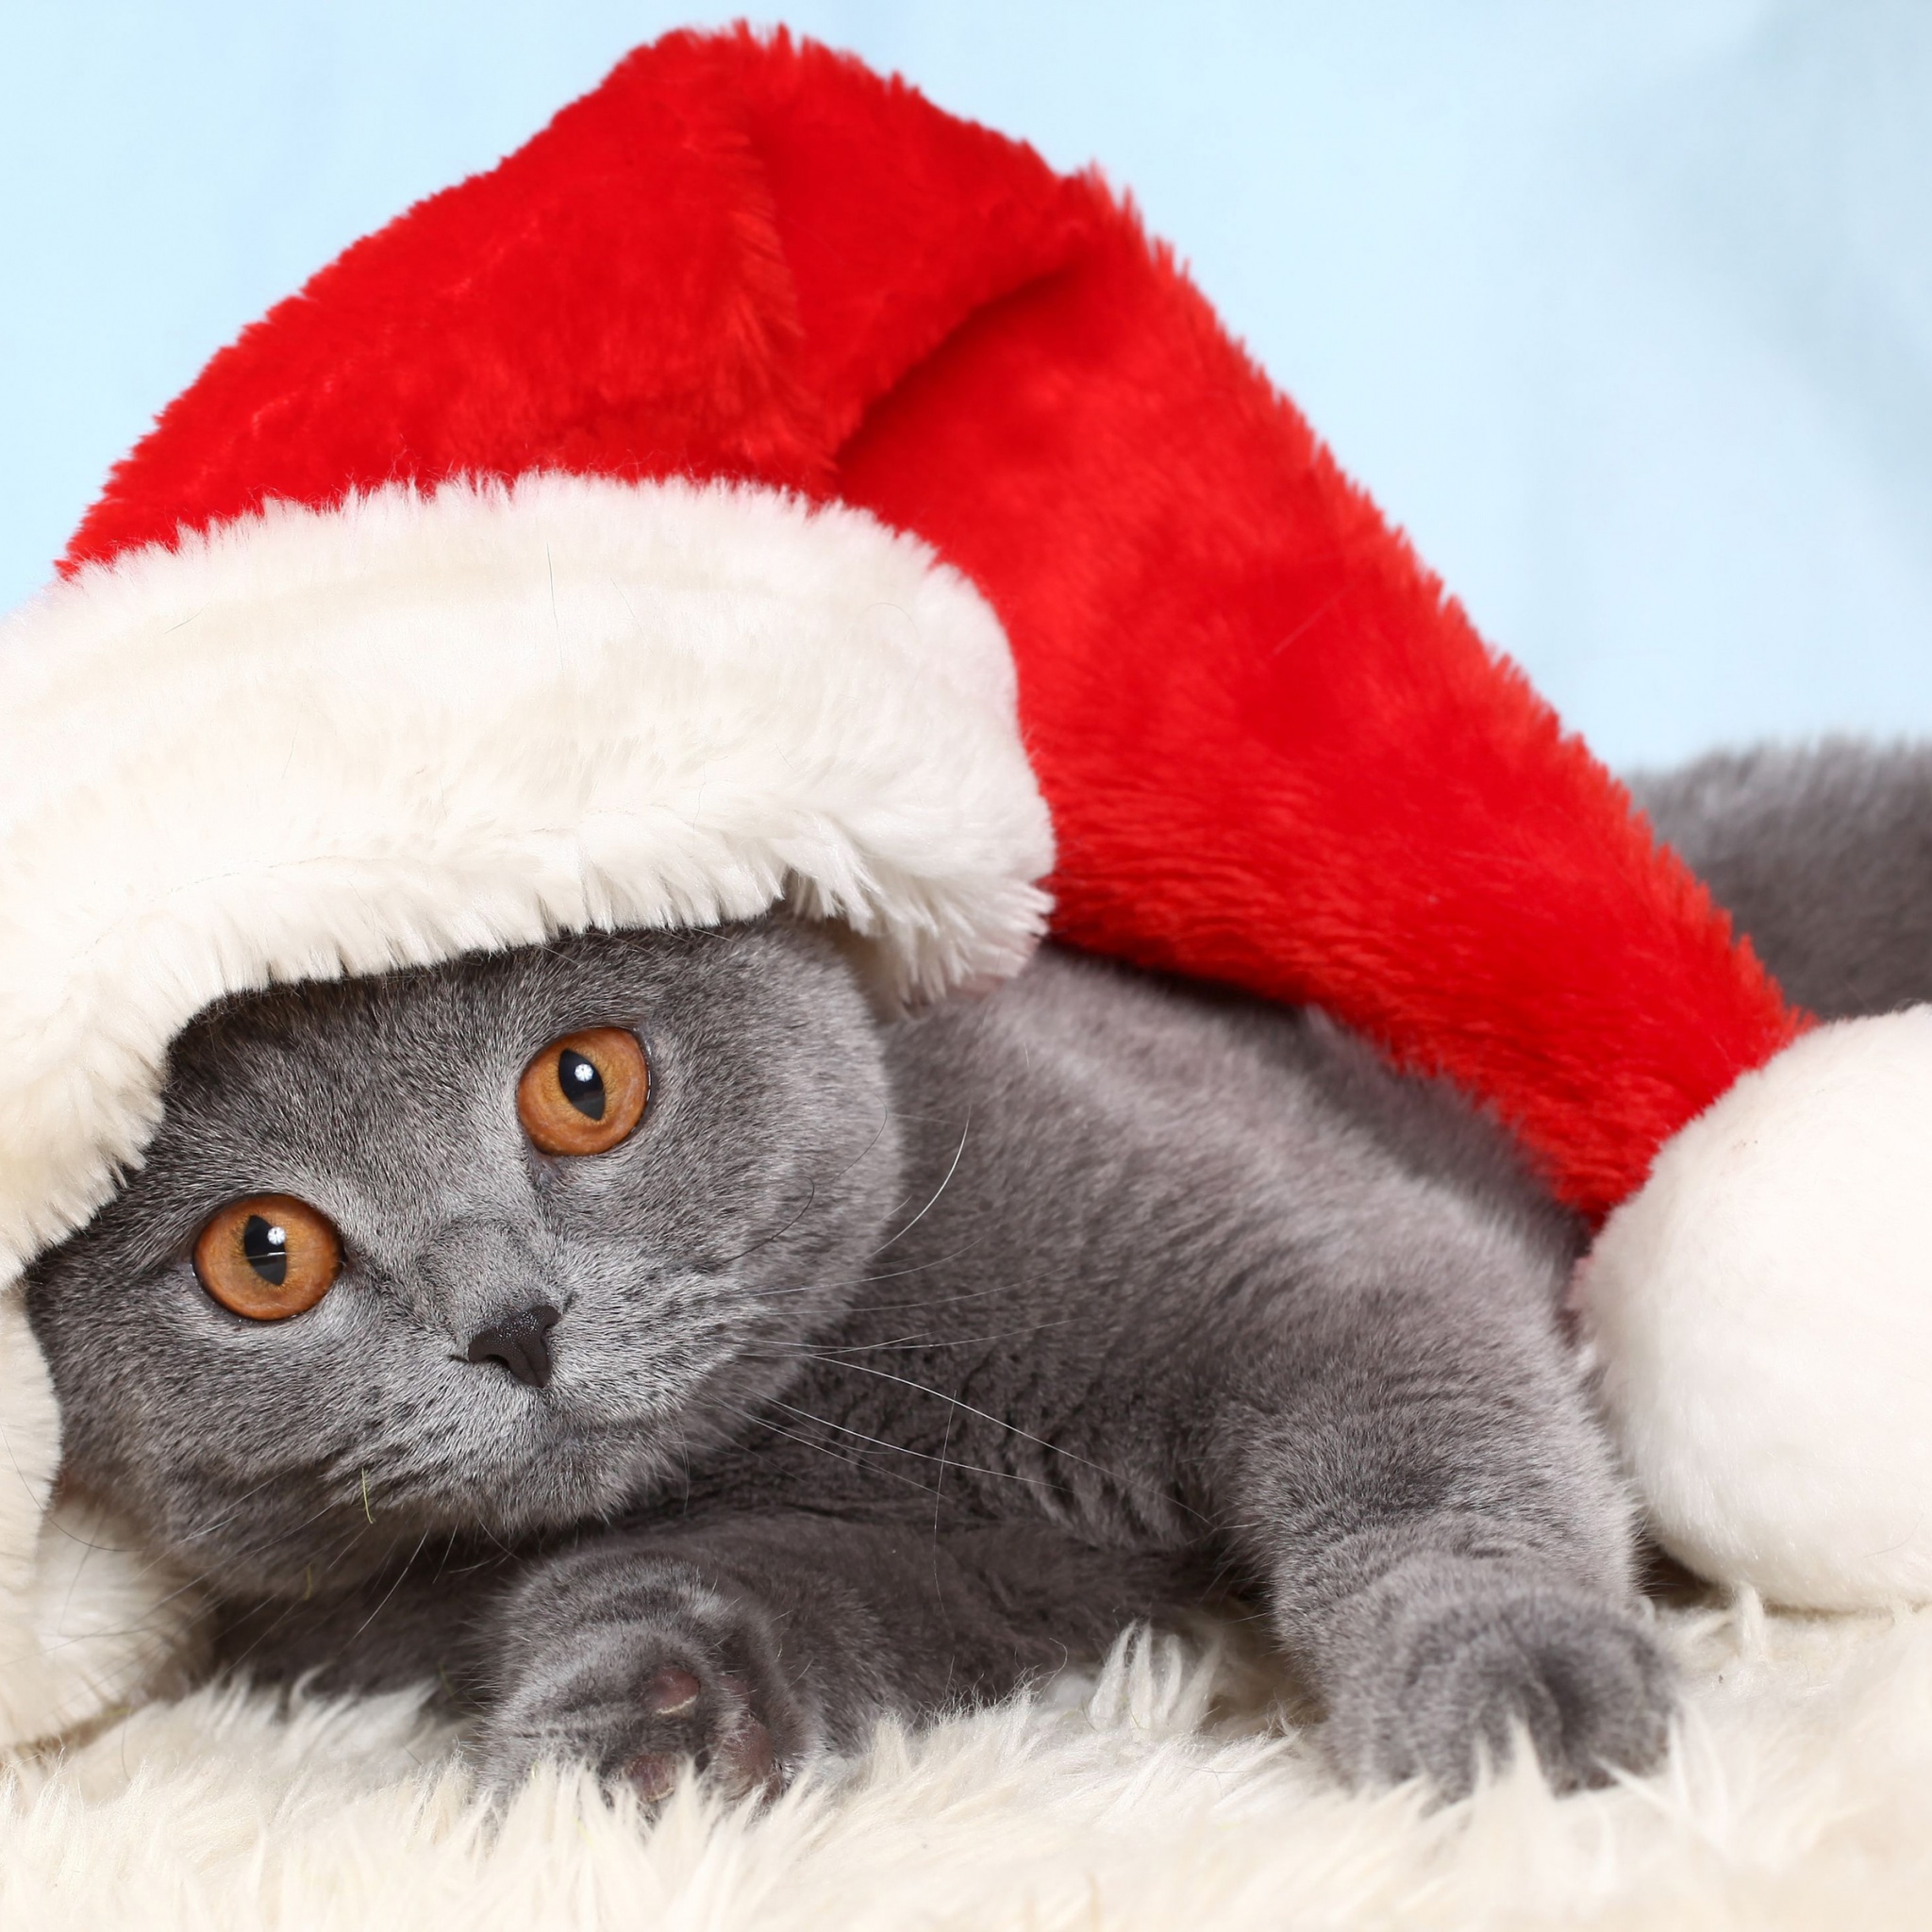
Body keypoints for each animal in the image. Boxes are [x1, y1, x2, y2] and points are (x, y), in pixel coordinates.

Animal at [34, 738, 1916, 1807]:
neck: (845, 1412)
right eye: (262, 1254)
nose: (512, 1322)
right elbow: (721, 1599)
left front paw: (1516, 1702)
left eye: (584, 1083)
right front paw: (631, 1731)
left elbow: (1426, 1470)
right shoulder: (970, 1573)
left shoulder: (1321, 1265)